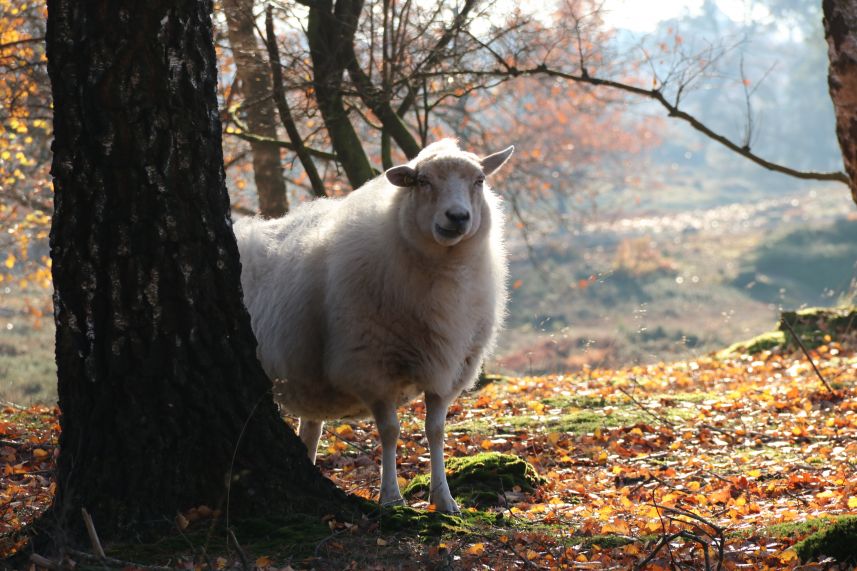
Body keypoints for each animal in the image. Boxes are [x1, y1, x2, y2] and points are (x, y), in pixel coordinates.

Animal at [234, 139, 512, 512]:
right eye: (423, 181)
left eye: (479, 180)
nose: (457, 217)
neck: (446, 270)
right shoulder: (370, 365)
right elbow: (391, 431)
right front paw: (391, 497)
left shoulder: (449, 368)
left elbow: (436, 430)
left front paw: (444, 499)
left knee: (311, 429)